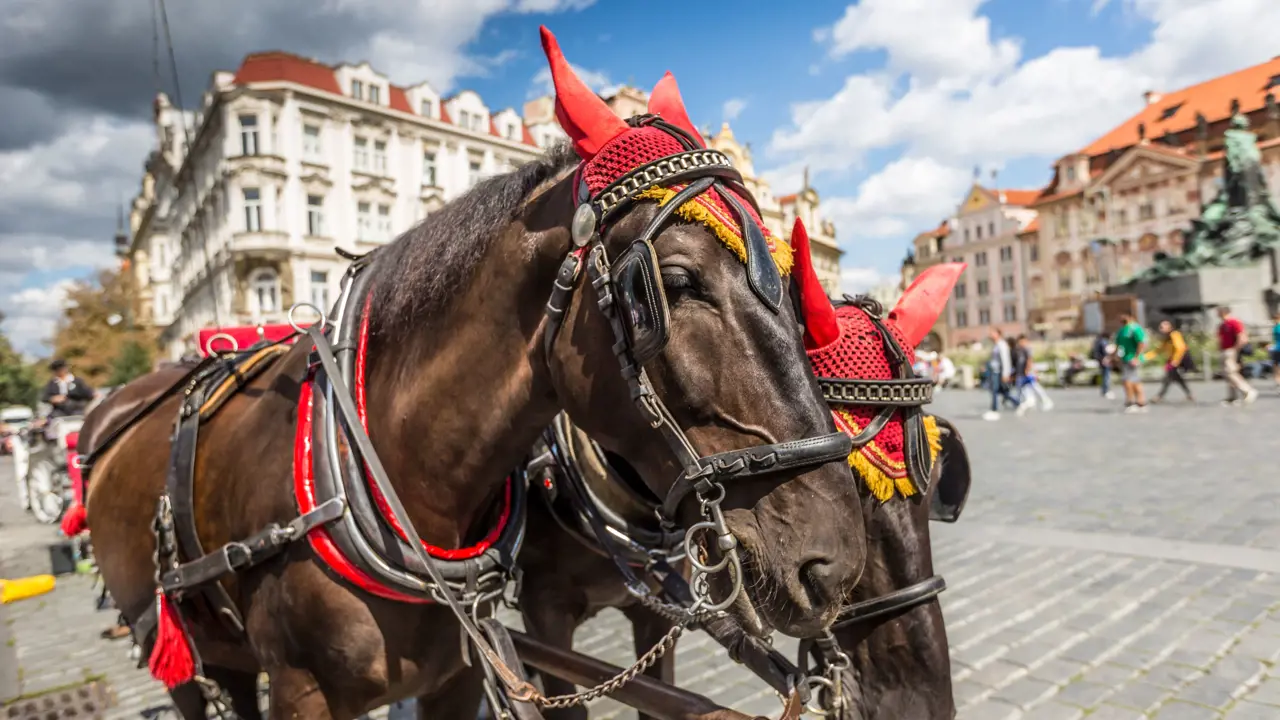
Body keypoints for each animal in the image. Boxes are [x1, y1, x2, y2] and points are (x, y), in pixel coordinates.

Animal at [82, 28, 870, 717]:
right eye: (675, 281)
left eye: (789, 276)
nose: (835, 563)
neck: (399, 475)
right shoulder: (515, 624)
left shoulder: (470, 673)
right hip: (191, 662)